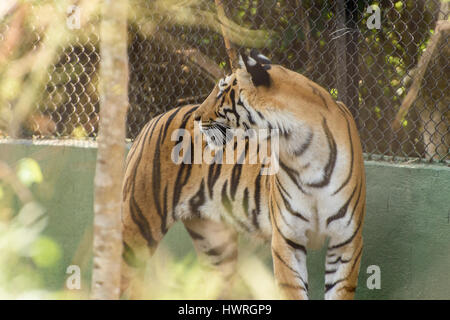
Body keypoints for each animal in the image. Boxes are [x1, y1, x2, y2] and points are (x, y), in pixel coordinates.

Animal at [122, 50, 366, 300]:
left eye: (222, 91)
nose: (197, 117)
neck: (302, 152)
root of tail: (154, 119)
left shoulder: (346, 241)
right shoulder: (287, 240)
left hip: (215, 246)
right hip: (137, 224)